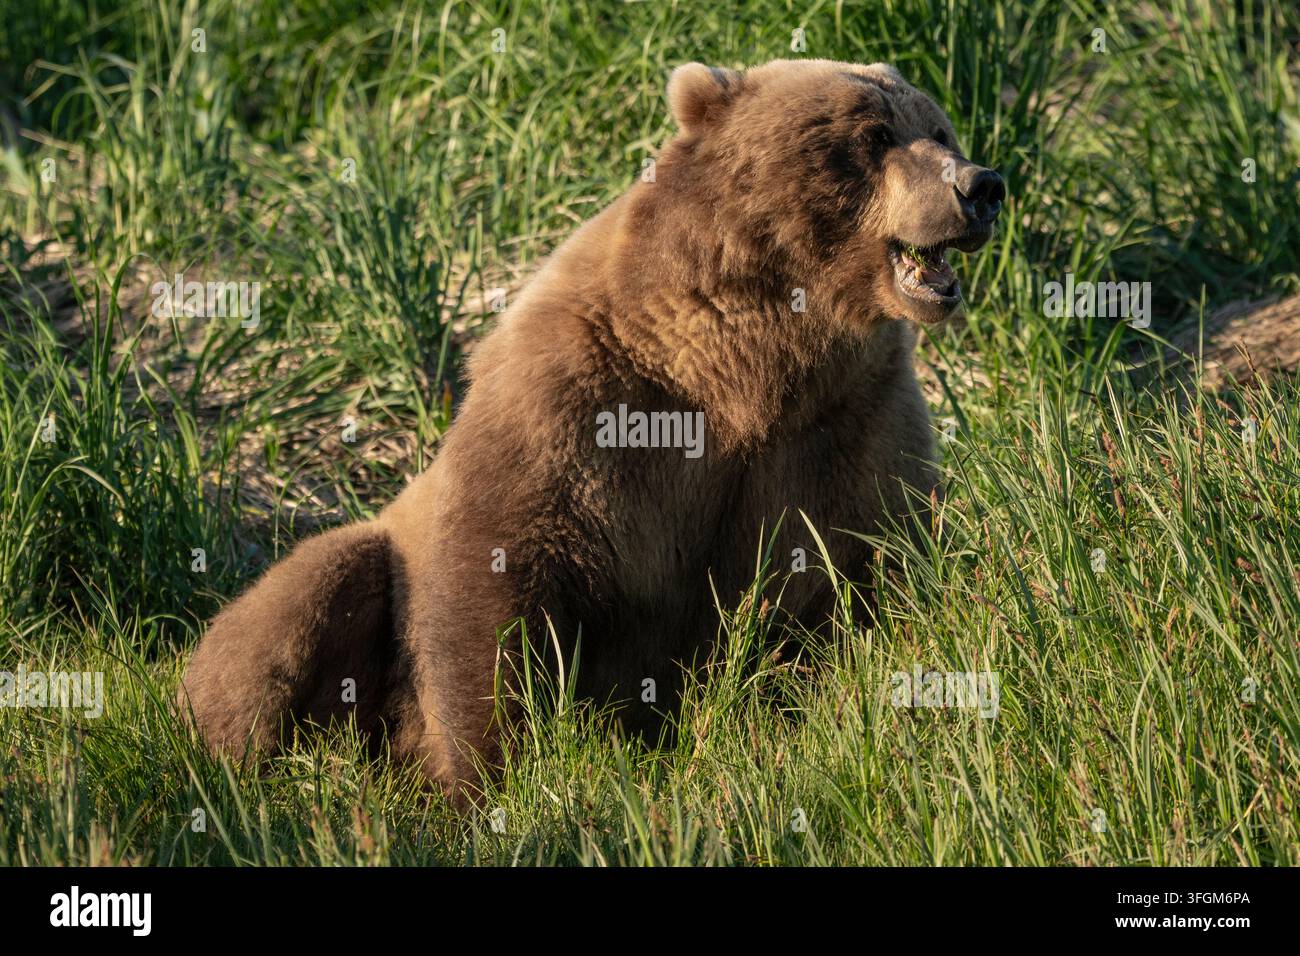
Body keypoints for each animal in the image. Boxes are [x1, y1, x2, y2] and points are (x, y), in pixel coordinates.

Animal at [178, 58, 1005, 804]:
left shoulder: (849, 423)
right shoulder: (579, 400)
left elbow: (869, 566)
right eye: (872, 134)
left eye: (939, 127)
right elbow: (495, 576)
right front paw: (488, 782)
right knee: (304, 598)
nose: (980, 186)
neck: (746, 363)